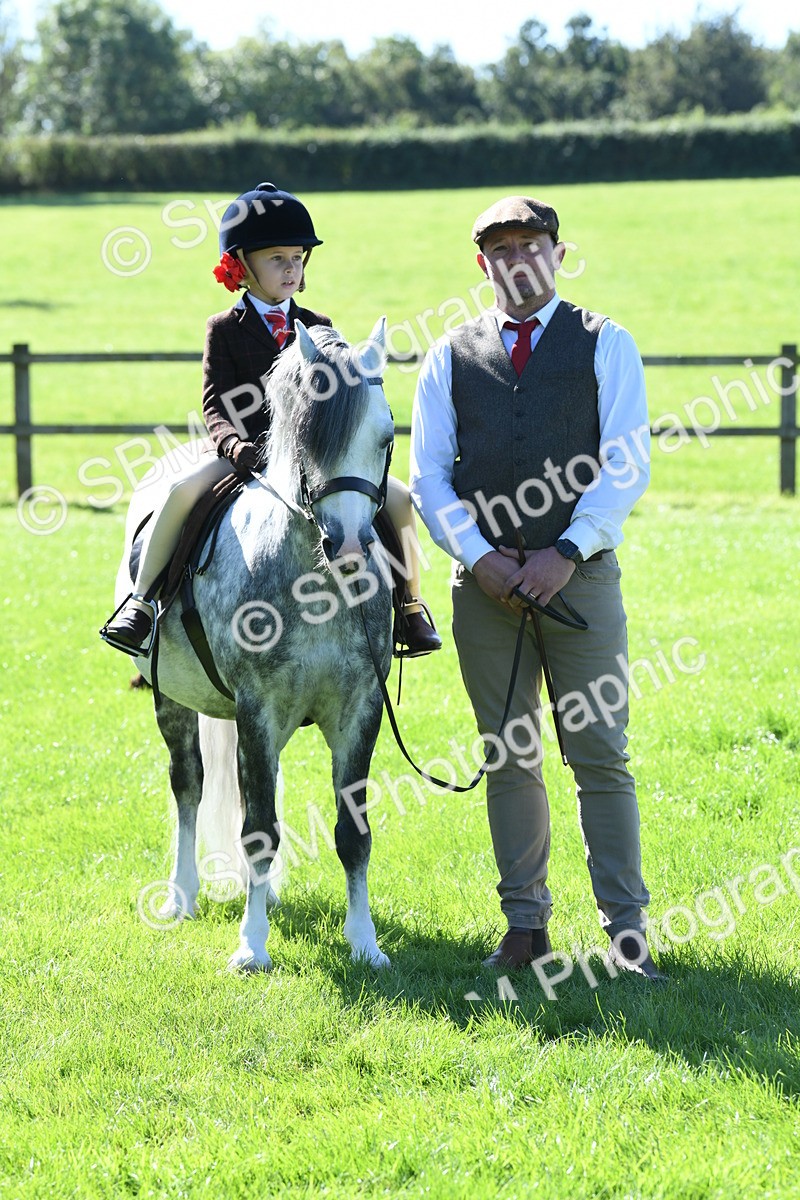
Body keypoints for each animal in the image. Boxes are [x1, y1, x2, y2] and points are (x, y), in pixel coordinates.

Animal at [116, 319, 394, 972]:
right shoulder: (257, 712)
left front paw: (364, 944)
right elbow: (258, 829)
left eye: (386, 437)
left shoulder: (360, 710)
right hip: (171, 699)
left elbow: (353, 833)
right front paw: (252, 947)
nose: (349, 548)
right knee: (189, 786)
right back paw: (182, 896)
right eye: (310, 439)